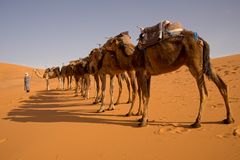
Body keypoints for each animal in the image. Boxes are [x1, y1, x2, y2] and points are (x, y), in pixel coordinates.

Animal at [102, 30, 233, 128]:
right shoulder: (148, 75)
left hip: (195, 65)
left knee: (204, 92)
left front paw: (143, 121)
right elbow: (147, 95)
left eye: (110, 41)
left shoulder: (141, 72)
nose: (103, 47)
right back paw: (228, 119)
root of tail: (201, 40)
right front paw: (143, 119)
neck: (132, 57)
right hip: (204, 63)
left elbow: (144, 95)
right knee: (222, 85)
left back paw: (197, 122)